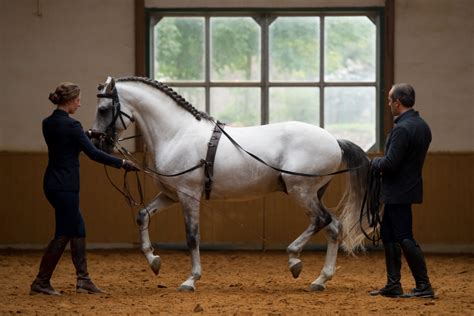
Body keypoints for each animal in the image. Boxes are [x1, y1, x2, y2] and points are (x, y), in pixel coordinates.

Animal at [91, 76, 374, 292]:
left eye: (103, 109)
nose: (95, 141)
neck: (177, 133)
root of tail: (335, 140)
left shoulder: (188, 195)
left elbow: (192, 237)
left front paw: (191, 280)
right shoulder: (171, 195)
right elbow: (142, 215)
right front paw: (154, 261)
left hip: (301, 191)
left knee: (322, 221)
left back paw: (295, 260)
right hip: (313, 193)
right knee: (333, 227)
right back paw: (319, 279)